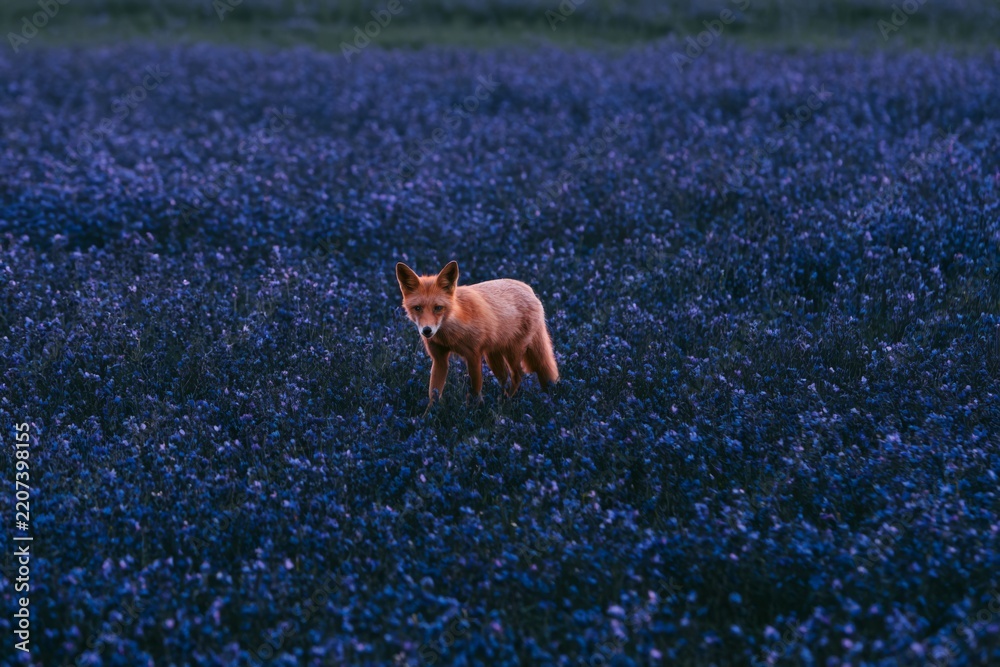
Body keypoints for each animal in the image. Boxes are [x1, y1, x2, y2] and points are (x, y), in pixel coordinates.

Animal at [395, 260, 559, 404]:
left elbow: (475, 391)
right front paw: (428, 417)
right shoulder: (439, 359)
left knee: (518, 375)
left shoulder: (473, 355)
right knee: (505, 378)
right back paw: (501, 400)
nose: (427, 331)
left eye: (438, 308)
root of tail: (529, 289)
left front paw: (474, 411)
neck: (450, 334)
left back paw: (507, 402)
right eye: (417, 308)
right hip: (493, 356)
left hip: (512, 352)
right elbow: (433, 395)